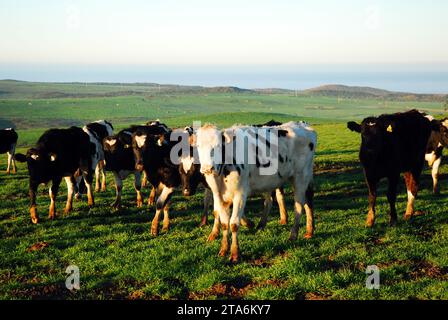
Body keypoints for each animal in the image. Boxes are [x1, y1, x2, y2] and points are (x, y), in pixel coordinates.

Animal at [194, 121, 316, 262]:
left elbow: (234, 223)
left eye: (218, 145)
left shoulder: (240, 193)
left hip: (301, 176)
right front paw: (224, 249)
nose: (207, 168)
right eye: (198, 146)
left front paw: (235, 253)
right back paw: (309, 231)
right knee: (305, 201)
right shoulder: (218, 195)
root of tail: (303, 125)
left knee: (299, 205)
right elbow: (224, 223)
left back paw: (293, 235)